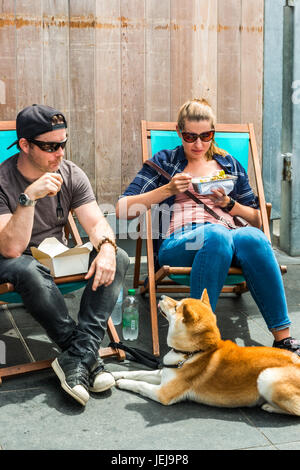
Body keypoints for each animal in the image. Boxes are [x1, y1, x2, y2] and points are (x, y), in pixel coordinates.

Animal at [112, 290, 300, 414]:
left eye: (176, 307)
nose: (162, 296)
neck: (191, 353)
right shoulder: (164, 373)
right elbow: (139, 373)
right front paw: (116, 374)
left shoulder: (163, 392)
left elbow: (140, 384)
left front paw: (123, 382)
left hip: (267, 376)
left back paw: (269, 406)